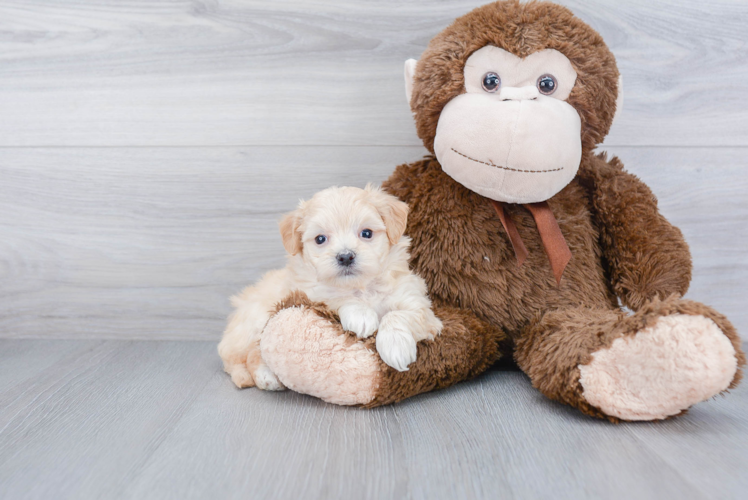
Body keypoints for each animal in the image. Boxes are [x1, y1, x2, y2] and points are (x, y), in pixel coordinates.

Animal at [216, 184, 442, 390]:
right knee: (249, 355)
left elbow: (398, 314)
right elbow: (336, 297)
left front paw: (395, 346)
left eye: (366, 233)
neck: (362, 288)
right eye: (320, 239)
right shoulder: (309, 293)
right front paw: (361, 316)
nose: (345, 256)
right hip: (258, 320)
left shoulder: (420, 306)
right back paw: (266, 376)